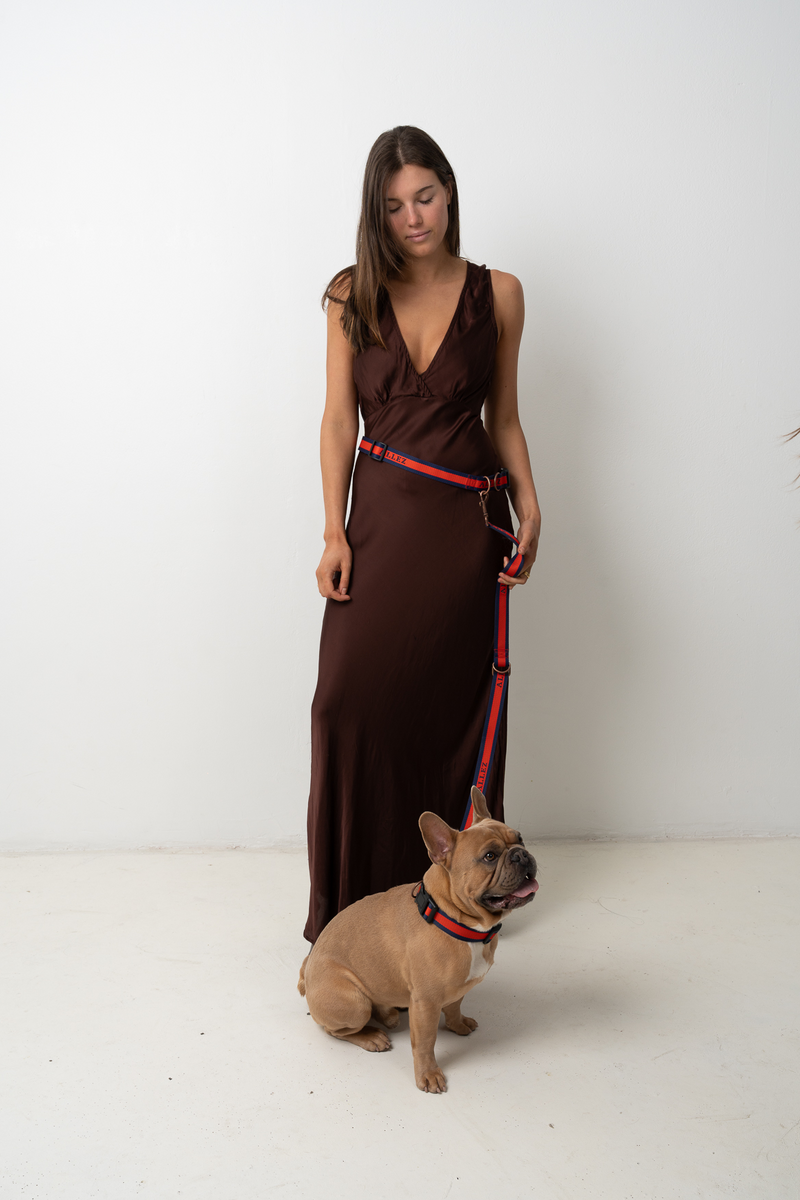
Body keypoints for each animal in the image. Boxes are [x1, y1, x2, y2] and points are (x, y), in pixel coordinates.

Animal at [298, 787, 538, 1093]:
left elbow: (455, 1006)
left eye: (519, 838)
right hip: (354, 1003)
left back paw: (388, 1013)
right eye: (490, 856)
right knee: (335, 1029)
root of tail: (307, 971)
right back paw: (371, 1036)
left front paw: (458, 1025)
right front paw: (428, 1074)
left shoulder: (457, 988)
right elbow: (425, 1043)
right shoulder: (426, 1003)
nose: (521, 854)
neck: (455, 919)